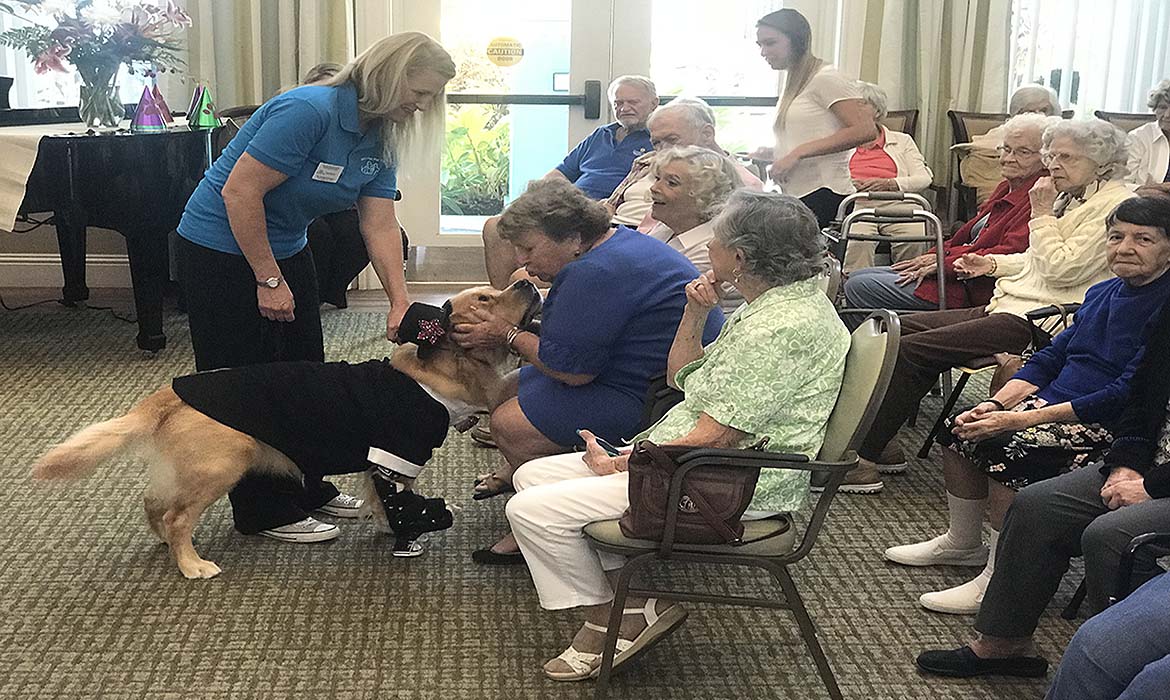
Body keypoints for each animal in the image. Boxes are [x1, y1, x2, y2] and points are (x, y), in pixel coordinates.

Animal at [33, 280, 538, 580]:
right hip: (224, 461)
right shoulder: (399, 455)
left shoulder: (380, 463)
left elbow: (378, 499)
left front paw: (380, 524)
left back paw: (166, 544)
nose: (528, 281)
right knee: (178, 516)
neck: (441, 376)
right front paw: (406, 533)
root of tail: (173, 390)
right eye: (487, 298)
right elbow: (398, 502)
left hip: (183, 469)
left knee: (153, 502)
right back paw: (192, 563)